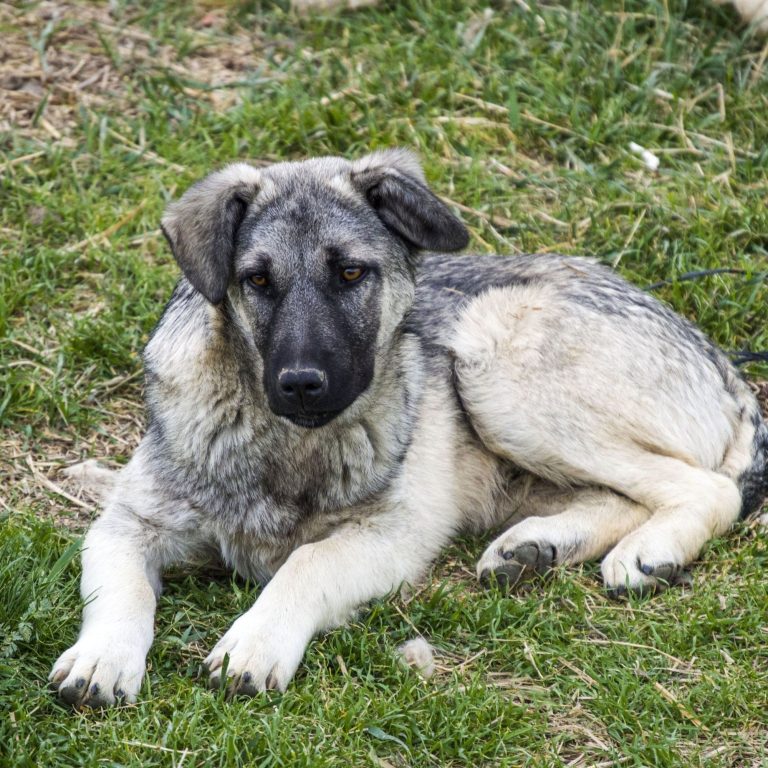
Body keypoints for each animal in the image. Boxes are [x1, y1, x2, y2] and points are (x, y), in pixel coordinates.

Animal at [49, 148, 768, 708]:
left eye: (350, 272)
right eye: (257, 280)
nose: (302, 382)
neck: (283, 437)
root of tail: (719, 362)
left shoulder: (392, 533)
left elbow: (306, 562)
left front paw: (255, 640)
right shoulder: (128, 524)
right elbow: (119, 588)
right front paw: (103, 657)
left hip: (494, 364)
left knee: (704, 487)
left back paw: (649, 551)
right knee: (624, 495)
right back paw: (535, 547)